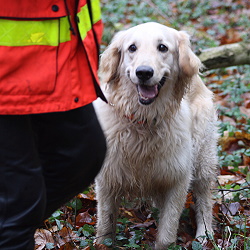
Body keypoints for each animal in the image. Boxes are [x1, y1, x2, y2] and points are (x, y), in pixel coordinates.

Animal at [94, 22, 218, 249]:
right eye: (132, 48)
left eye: (162, 47)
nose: (144, 72)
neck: (142, 120)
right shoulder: (107, 177)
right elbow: (105, 226)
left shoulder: (178, 178)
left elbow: (167, 232)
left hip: (202, 156)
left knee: (204, 197)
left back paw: (205, 235)